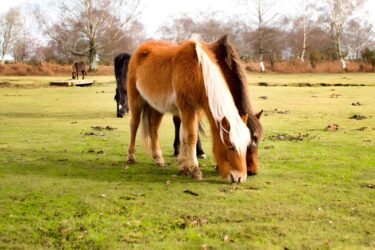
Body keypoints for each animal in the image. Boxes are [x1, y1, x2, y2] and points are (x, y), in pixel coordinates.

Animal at [128, 35, 262, 183]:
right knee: (134, 124)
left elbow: (186, 136)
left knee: (153, 128)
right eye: (231, 147)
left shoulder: (196, 109)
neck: (198, 71)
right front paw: (194, 169)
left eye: (247, 144)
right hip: (136, 99)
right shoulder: (186, 107)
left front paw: (183, 166)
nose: (241, 177)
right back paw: (131, 157)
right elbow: (191, 136)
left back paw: (159, 159)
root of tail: (140, 49)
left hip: (156, 106)